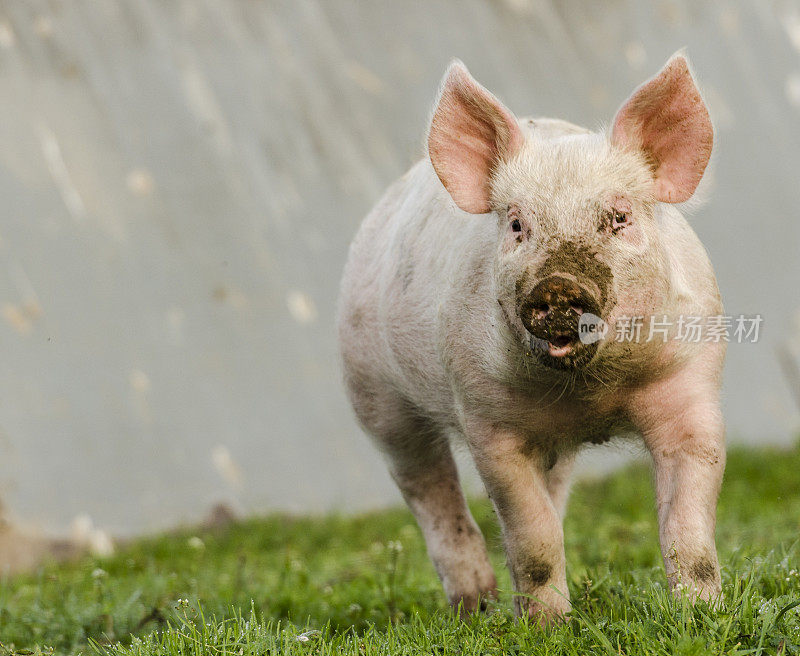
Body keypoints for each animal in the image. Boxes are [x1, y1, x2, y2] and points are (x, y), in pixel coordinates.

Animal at [336, 52, 724, 624]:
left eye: (619, 217)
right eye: (518, 225)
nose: (558, 285)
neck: (590, 397)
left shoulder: (691, 386)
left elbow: (689, 530)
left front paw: (702, 616)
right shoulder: (489, 421)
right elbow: (532, 537)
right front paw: (547, 628)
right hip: (374, 394)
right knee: (427, 487)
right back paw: (476, 607)